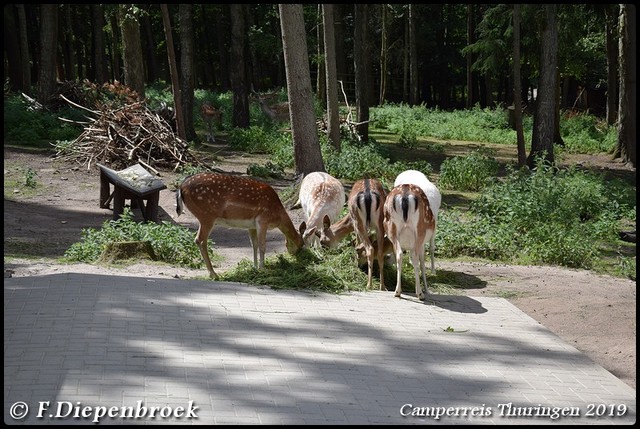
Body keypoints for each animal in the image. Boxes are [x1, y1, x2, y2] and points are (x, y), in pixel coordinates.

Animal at [175, 172, 304, 280]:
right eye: (302, 244)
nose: (297, 255)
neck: (277, 215)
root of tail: (181, 187)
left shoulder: (251, 226)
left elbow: (254, 245)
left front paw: (254, 267)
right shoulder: (263, 220)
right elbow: (262, 246)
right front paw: (263, 269)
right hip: (207, 215)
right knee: (200, 240)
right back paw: (213, 274)